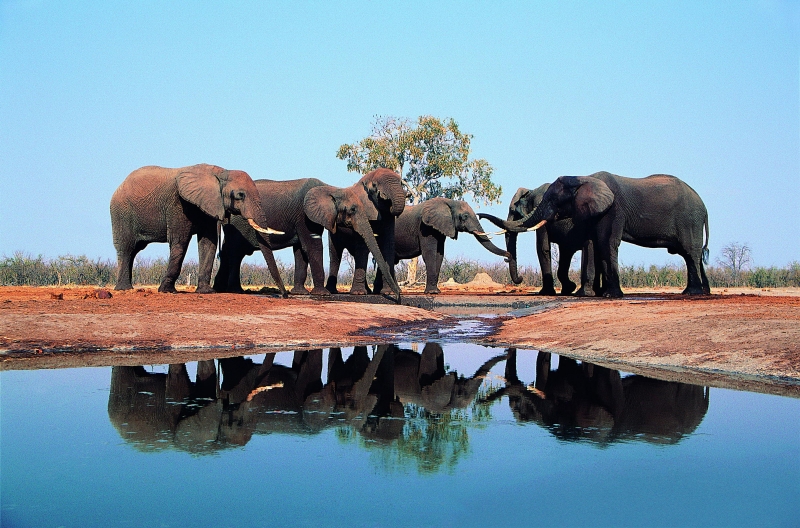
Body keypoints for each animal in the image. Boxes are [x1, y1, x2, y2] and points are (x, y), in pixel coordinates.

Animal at [109, 164, 282, 292]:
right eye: (240, 195)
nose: (284, 295)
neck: (220, 173)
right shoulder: (178, 204)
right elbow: (180, 241)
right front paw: (166, 290)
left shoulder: (209, 205)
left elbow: (209, 242)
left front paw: (206, 291)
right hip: (121, 213)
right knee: (127, 248)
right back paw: (124, 289)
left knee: (134, 250)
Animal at [306, 169, 406, 302]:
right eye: (375, 186)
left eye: (401, 183)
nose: (398, 297)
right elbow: (362, 247)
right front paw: (358, 293)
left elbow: (388, 245)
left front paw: (387, 292)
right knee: (335, 255)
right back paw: (333, 291)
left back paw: (368, 291)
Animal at [374, 198, 510, 296]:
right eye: (465, 216)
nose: (509, 256)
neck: (449, 202)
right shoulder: (426, 228)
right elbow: (429, 254)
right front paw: (432, 292)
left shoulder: (440, 229)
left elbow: (439, 254)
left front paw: (435, 291)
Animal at [496, 172, 708, 296]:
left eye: (552, 200)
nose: (520, 280)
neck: (582, 178)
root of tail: (704, 207)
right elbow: (589, 244)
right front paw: (577, 292)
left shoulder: (613, 210)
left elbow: (545, 249)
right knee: (694, 255)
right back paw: (702, 291)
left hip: (690, 219)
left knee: (690, 252)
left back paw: (692, 293)